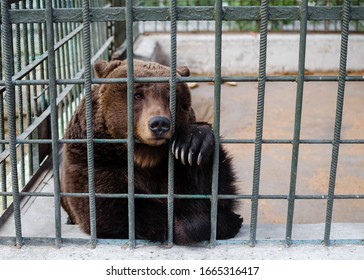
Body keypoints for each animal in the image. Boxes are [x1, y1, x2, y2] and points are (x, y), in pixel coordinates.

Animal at [60, 59, 242, 245]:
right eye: (138, 95)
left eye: (171, 98)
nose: (159, 123)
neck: (144, 156)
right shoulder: (94, 160)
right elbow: (114, 210)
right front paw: (224, 221)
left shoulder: (171, 168)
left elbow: (211, 190)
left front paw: (193, 142)